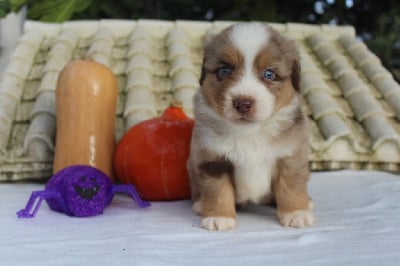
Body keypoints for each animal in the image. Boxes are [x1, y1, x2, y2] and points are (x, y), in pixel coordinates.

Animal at [188, 22, 316, 231]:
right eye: (224, 71)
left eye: (269, 74)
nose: (243, 103)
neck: (249, 132)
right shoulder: (212, 159)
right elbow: (218, 191)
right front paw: (219, 217)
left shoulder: (290, 156)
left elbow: (291, 186)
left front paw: (296, 214)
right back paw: (200, 205)